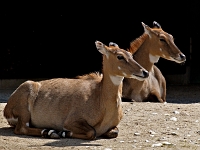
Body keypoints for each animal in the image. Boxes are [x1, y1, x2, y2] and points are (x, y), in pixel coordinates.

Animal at [3, 40, 148, 139]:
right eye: (119, 56)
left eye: (130, 54)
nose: (145, 72)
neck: (100, 98)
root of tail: (6, 110)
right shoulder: (71, 121)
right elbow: (92, 132)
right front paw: (64, 133)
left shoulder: (112, 127)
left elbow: (114, 132)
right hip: (25, 106)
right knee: (21, 128)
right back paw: (50, 132)